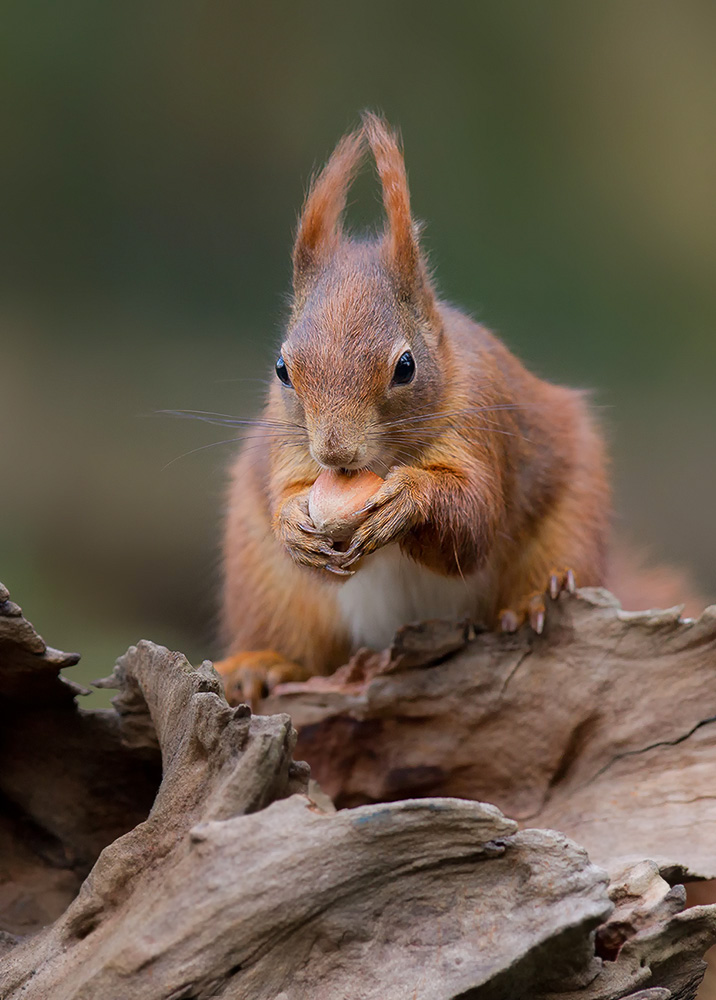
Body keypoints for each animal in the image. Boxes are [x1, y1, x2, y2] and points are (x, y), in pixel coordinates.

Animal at [215, 115, 612, 704]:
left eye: (406, 366)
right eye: (283, 368)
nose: (335, 452)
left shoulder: (479, 423)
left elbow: (472, 521)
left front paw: (406, 501)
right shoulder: (286, 449)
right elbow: (289, 499)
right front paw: (291, 523)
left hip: (573, 519)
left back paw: (534, 602)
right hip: (263, 581)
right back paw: (259, 664)